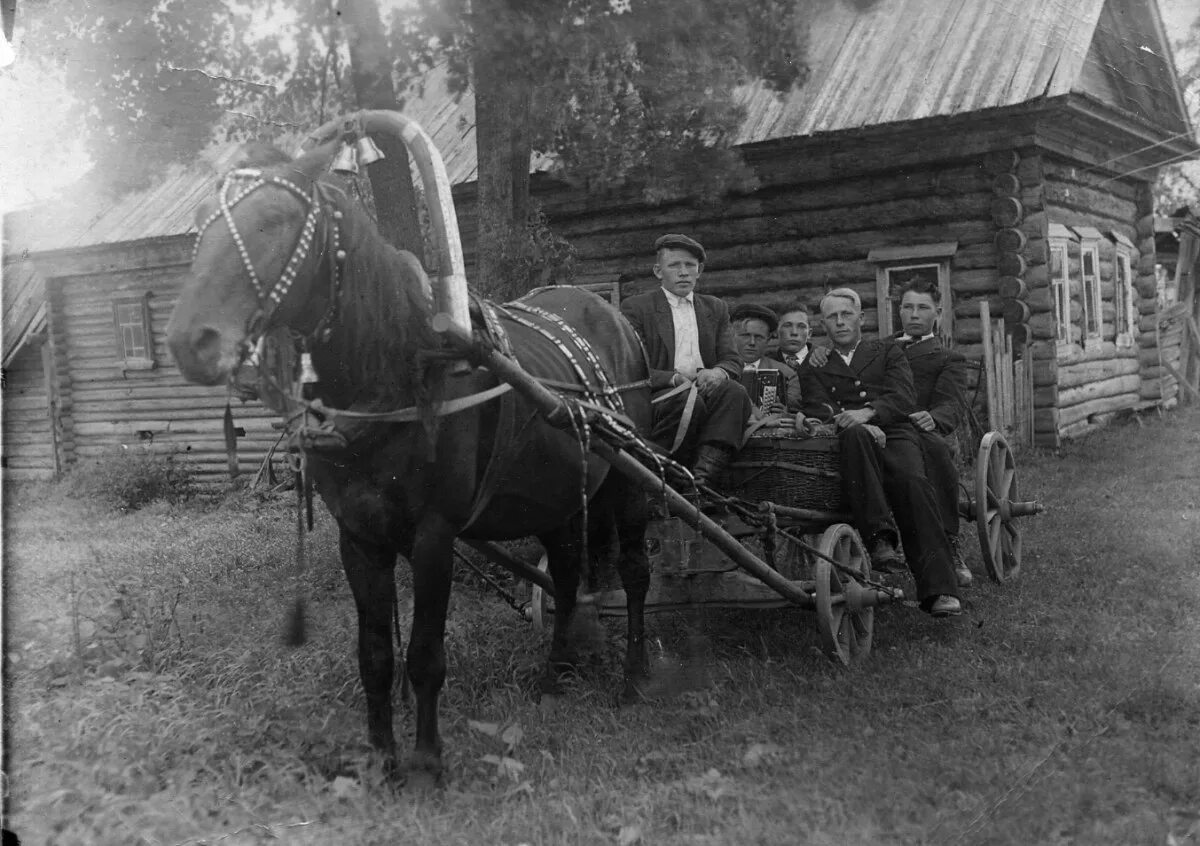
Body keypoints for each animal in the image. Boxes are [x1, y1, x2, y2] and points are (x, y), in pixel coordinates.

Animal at [165, 141, 652, 782]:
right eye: (201, 224)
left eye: (275, 219)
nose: (189, 341)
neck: (396, 373)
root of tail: (614, 317)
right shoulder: (358, 534)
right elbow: (374, 653)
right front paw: (380, 755)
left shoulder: (433, 535)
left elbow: (423, 653)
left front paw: (426, 761)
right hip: (556, 498)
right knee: (569, 579)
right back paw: (554, 679)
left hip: (628, 485)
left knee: (636, 574)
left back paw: (634, 679)